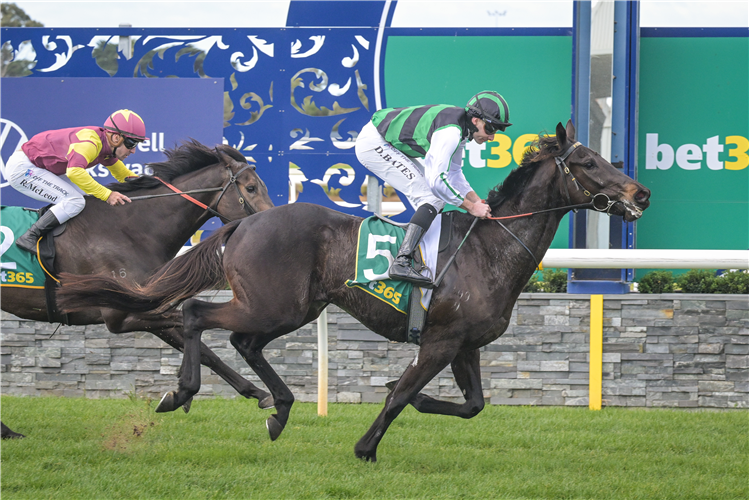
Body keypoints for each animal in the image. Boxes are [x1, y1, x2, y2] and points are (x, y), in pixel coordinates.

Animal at [0, 140, 274, 438]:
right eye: (251, 188)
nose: (268, 224)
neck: (130, 230)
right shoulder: (122, 316)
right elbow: (198, 338)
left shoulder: (146, 309)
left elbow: (204, 351)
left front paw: (255, 393)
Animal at [57, 122, 648, 460]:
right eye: (588, 162)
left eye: (607, 158)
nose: (640, 192)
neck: (487, 250)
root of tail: (244, 223)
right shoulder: (439, 341)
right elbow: (403, 396)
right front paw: (366, 445)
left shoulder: (465, 344)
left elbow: (473, 405)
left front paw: (407, 398)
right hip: (272, 304)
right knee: (197, 314)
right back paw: (182, 392)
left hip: (293, 307)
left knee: (243, 342)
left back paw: (279, 408)